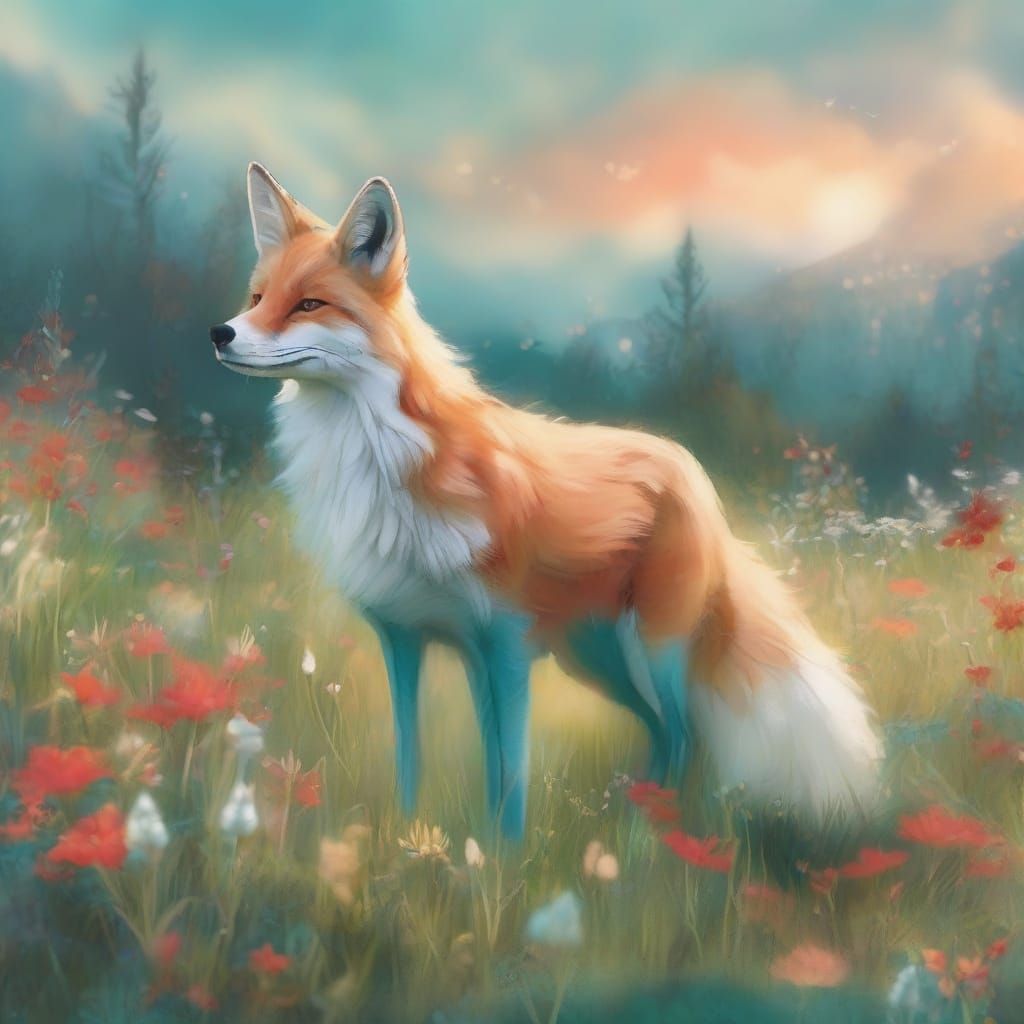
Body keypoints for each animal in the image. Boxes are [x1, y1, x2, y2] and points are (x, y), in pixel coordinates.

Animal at [211, 163, 882, 840]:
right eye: (257, 298)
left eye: (309, 304)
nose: (220, 332)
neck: (378, 462)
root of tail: (688, 467)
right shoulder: (406, 637)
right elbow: (413, 758)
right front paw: (410, 837)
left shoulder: (504, 646)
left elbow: (510, 778)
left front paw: (504, 859)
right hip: (599, 660)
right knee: (661, 734)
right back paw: (629, 822)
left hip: (652, 651)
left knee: (687, 737)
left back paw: (643, 843)